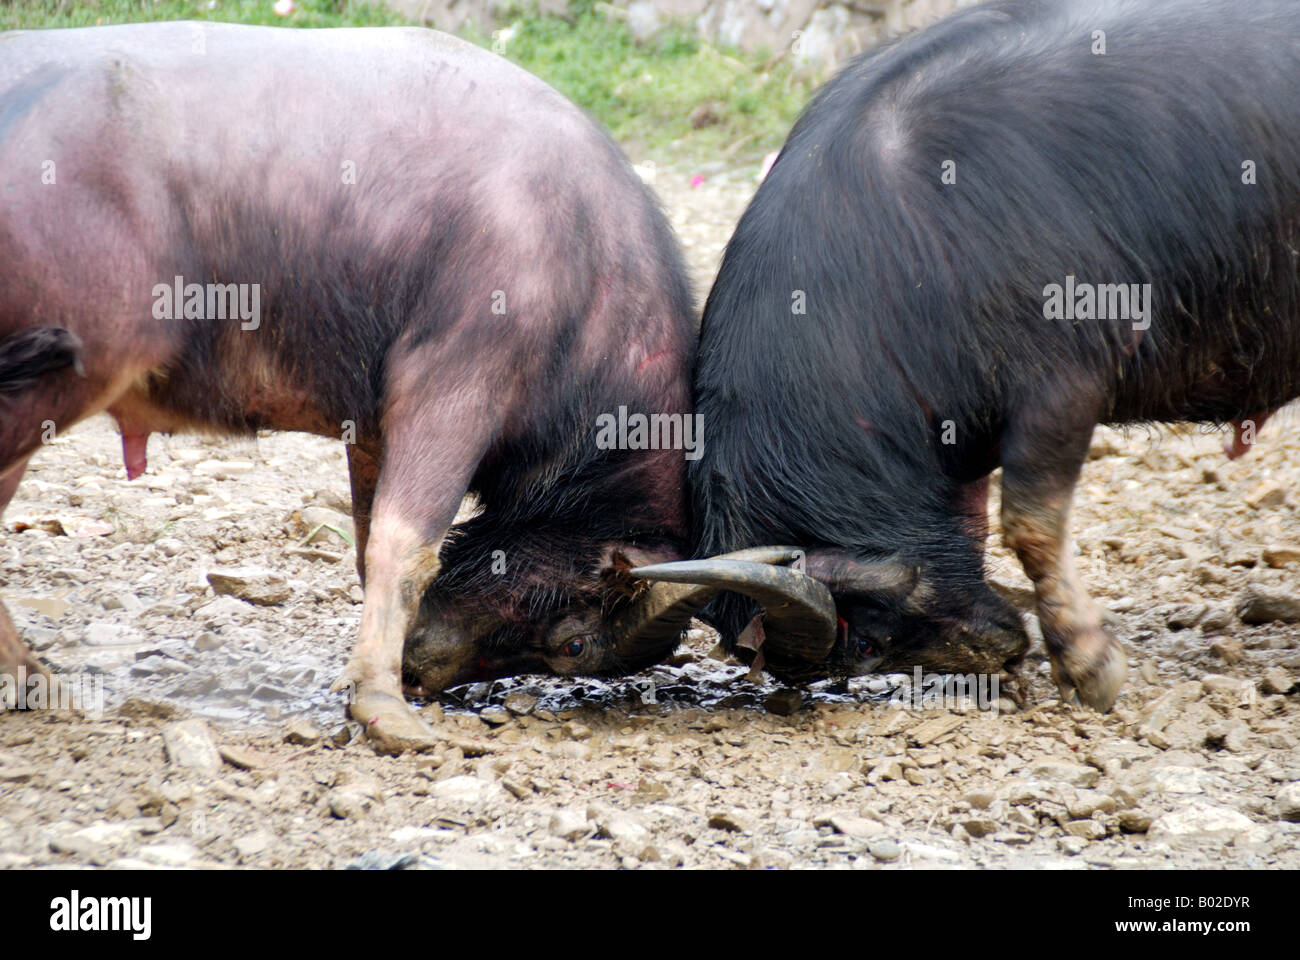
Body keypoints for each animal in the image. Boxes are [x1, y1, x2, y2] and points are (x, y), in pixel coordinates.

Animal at [0, 21, 727, 753]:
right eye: (574, 644)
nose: (425, 672)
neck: (587, 276)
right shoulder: (456, 387)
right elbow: (405, 548)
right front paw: (381, 704)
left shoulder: (373, 428)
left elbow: (364, 538)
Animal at [630, 0, 1300, 711]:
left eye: (865, 645)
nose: (1001, 653)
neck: (908, 247)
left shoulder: (1063, 387)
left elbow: (1031, 522)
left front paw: (1088, 663)